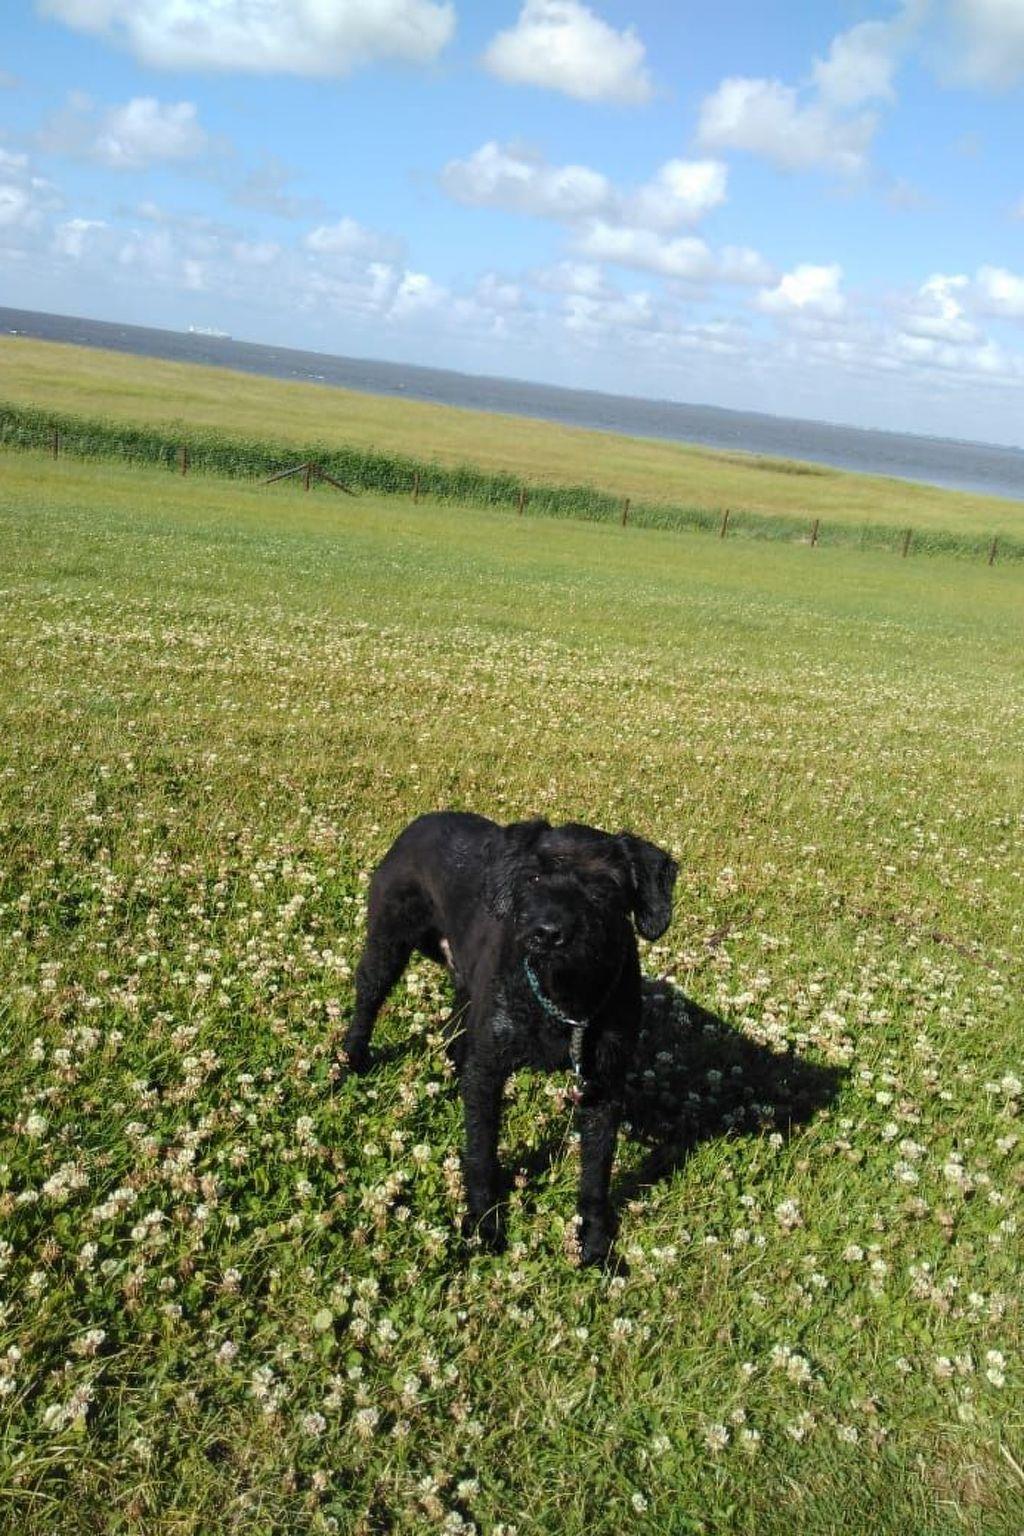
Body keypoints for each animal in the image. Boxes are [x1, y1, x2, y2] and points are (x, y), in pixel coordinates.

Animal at [344, 811, 677, 1265]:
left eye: (604, 885)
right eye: (533, 877)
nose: (547, 931)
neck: (562, 995)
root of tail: (424, 820)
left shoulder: (603, 1089)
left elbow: (596, 1175)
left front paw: (594, 1244)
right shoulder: (489, 1070)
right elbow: (482, 1156)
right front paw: (485, 1225)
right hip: (387, 941)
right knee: (366, 1003)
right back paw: (350, 1062)